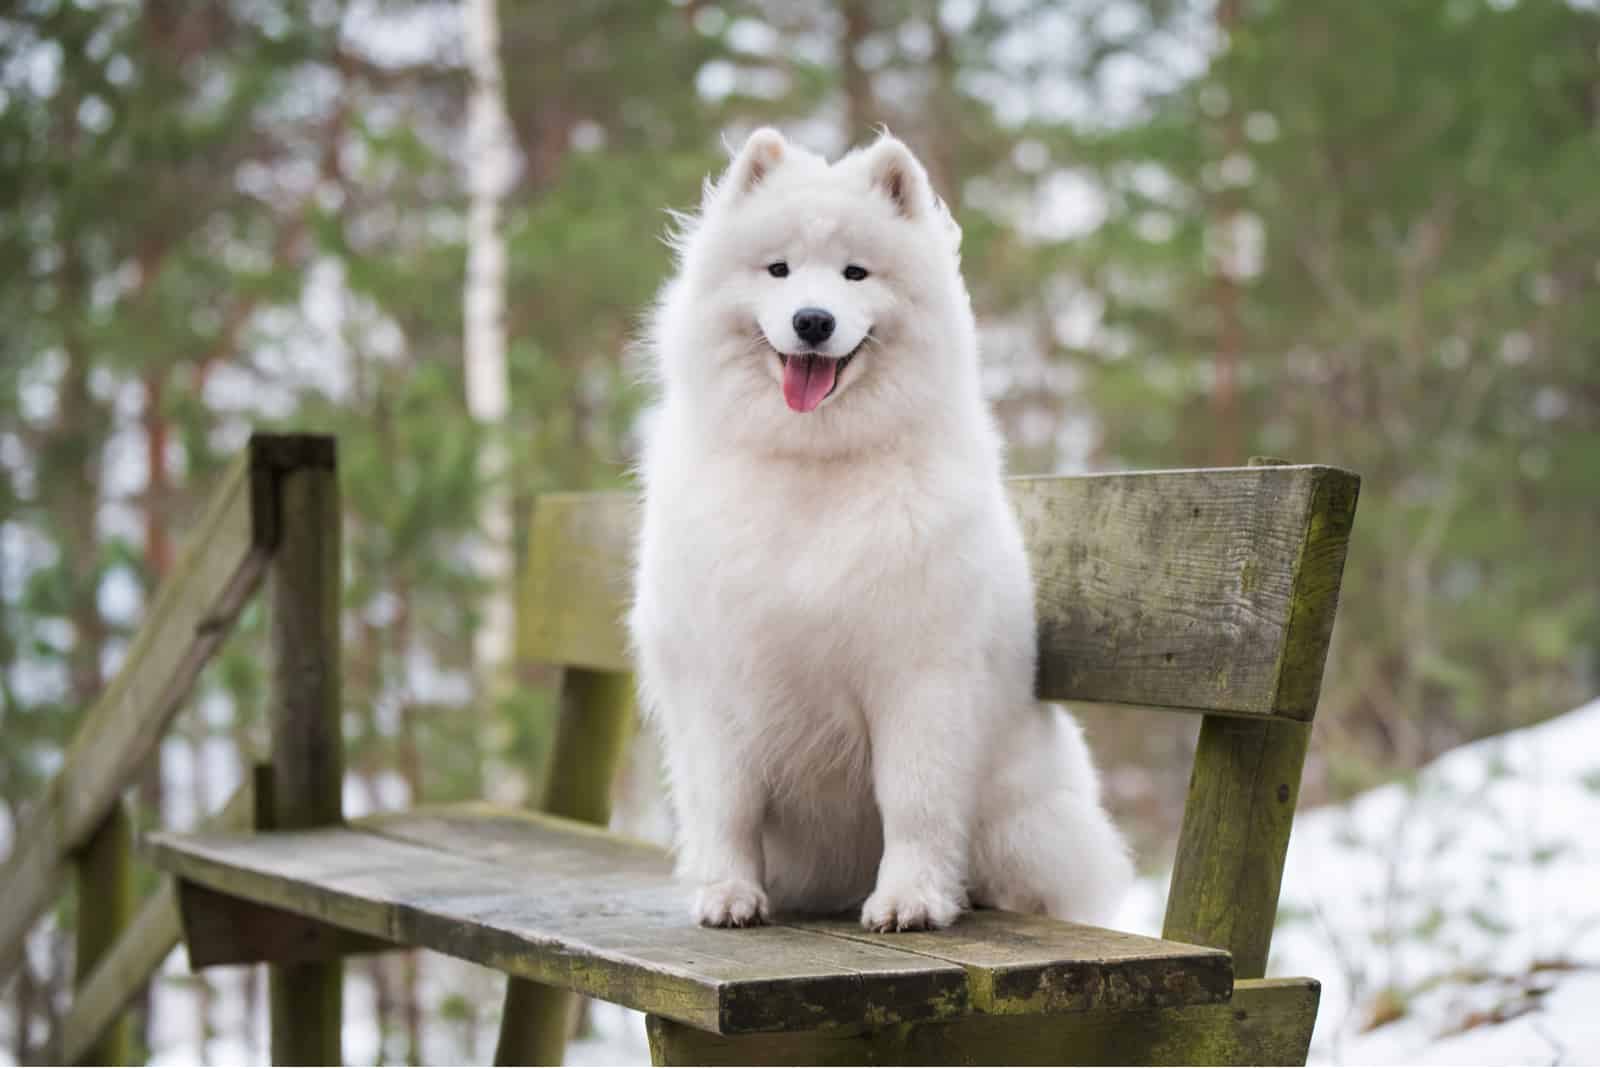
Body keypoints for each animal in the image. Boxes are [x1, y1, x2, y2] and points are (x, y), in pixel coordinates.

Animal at [630, 129, 1132, 927]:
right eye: (778, 269)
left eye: (855, 273)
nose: (813, 320)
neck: (814, 467)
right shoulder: (716, 681)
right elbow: (728, 804)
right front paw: (730, 895)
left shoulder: (918, 676)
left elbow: (914, 802)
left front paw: (911, 900)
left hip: (1024, 820)